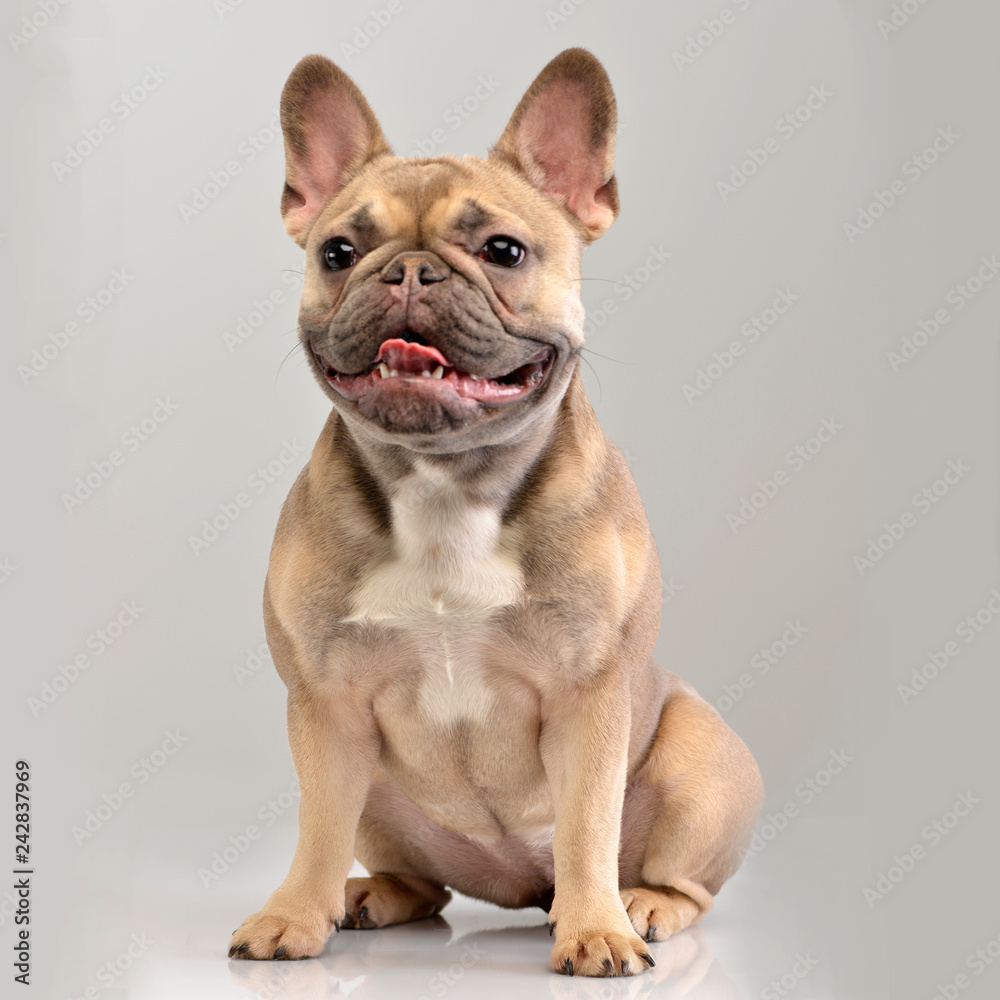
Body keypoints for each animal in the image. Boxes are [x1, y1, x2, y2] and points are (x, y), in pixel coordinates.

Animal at [229, 47, 756, 976]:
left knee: (675, 878)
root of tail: (518, 887)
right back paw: (366, 896)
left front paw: (598, 933)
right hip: (381, 792)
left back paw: (639, 906)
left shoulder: (590, 696)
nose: (407, 270)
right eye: (337, 251)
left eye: (504, 250)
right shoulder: (324, 707)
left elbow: (586, 823)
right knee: (416, 878)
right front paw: (293, 914)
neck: (447, 480)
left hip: (706, 765)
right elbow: (317, 826)